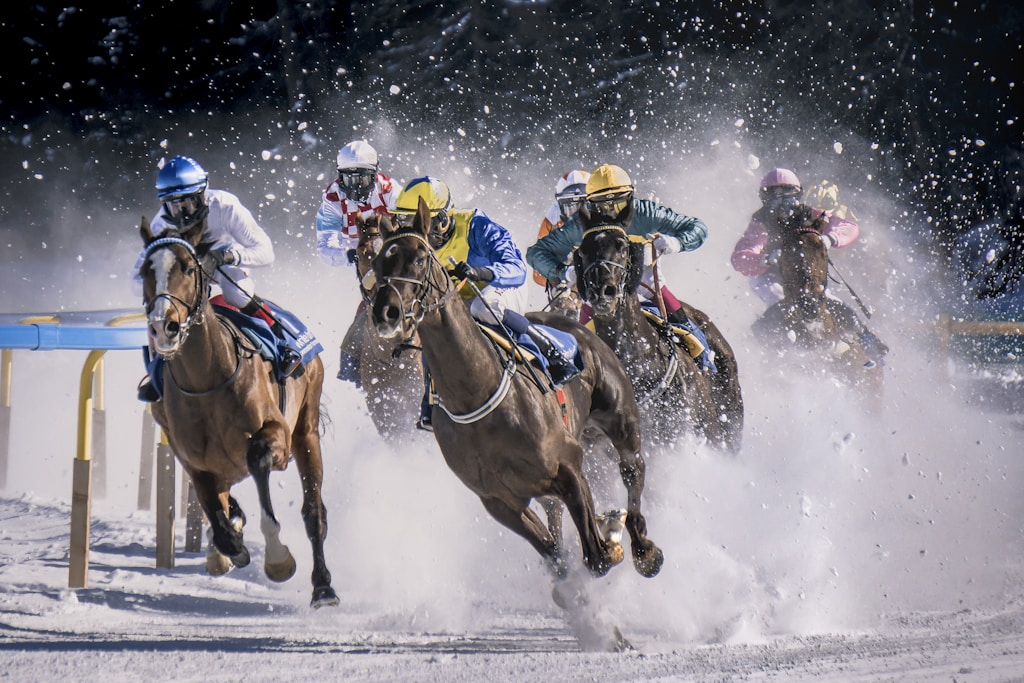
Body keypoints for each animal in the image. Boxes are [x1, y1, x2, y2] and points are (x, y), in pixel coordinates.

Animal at [138, 216, 337, 606]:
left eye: (187, 267)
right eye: (144, 272)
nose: (162, 326)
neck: (207, 381)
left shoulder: (276, 436)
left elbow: (258, 461)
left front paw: (277, 559)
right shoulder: (196, 463)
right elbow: (220, 523)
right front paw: (230, 544)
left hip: (306, 429)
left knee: (314, 513)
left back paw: (323, 586)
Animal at [368, 197, 663, 593]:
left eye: (418, 258)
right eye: (377, 262)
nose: (385, 313)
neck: (478, 395)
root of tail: (578, 322)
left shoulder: (568, 466)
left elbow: (597, 556)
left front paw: (611, 536)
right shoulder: (499, 501)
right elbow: (557, 557)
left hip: (620, 418)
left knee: (633, 469)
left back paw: (642, 547)